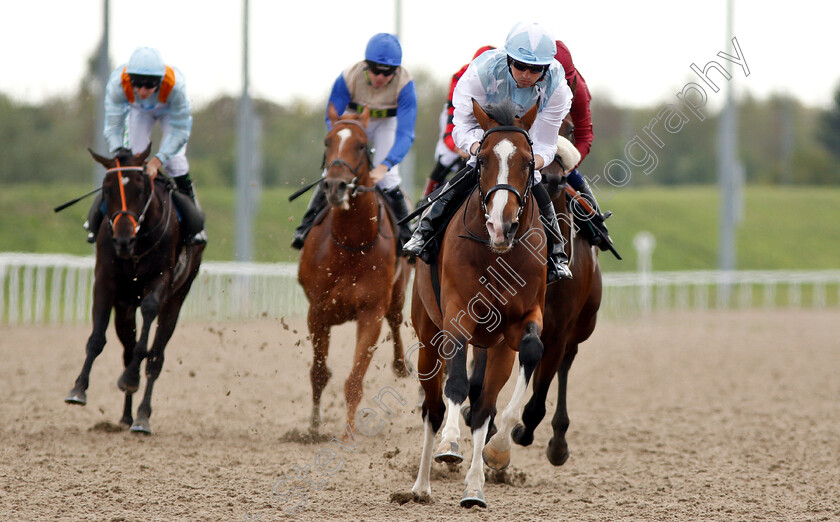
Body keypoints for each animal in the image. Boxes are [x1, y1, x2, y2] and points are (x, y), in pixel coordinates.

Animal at [65, 144, 203, 432]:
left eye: (140, 189)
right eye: (107, 189)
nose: (123, 239)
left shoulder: (161, 281)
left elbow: (146, 341)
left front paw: (130, 379)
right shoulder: (105, 282)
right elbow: (97, 338)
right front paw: (78, 389)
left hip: (177, 298)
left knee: (155, 358)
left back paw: (142, 416)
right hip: (125, 307)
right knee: (127, 351)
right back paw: (127, 416)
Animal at [298, 103, 410, 432]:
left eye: (362, 145)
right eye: (327, 142)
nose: (335, 185)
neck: (351, 243)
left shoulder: (370, 313)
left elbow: (354, 382)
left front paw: (347, 435)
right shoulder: (318, 311)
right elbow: (319, 373)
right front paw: (313, 427)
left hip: (399, 291)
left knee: (396, 319)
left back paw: (402, 366)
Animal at [408, 99, 552, 506]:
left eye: (528, 162)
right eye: (483, 159)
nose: (501, 226)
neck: (496, 254)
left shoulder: (522, 320)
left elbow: (532, 352)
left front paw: (499, 449)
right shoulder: (456, 316)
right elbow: (455, 385)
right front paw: (450, 444)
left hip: (496, 346)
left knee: (484, 404)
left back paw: (474, 488)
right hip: (427, 333)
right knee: (432, 407)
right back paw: (421, 485)